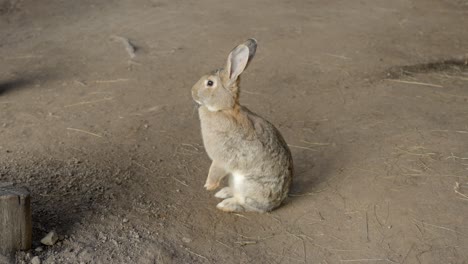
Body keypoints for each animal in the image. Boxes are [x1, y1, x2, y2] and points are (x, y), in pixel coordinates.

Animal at [190, 38, 292, 212]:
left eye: (210, 83)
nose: (192, 92)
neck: (223, 109)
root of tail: (275, 204)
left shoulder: (222, 156)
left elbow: (216, 169)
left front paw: (209, 185)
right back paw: (224, 193)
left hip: (247, 185)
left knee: (245, 204)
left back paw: (226, 204)